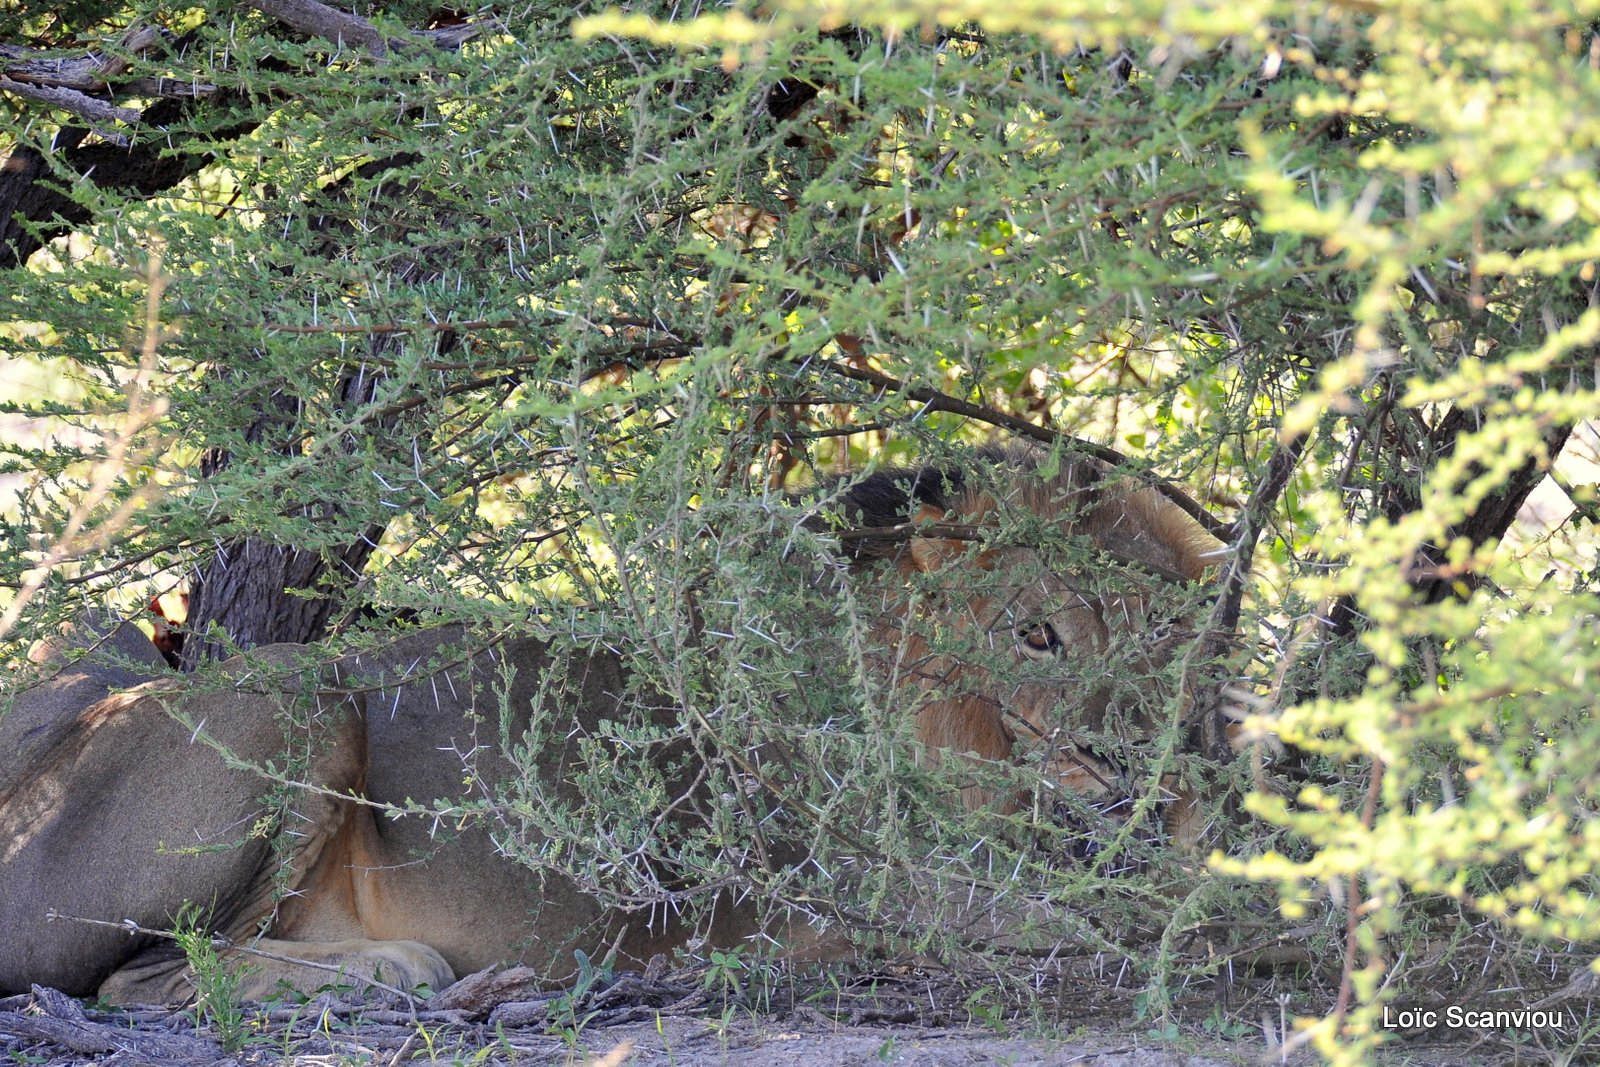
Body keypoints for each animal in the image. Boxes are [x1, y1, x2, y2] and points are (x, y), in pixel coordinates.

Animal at [0, 447, 1216, 1004]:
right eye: (1037, 633)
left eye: (1164, 637)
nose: (1129, 760)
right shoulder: (896, 891)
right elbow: (1149, 920)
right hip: (293, 700)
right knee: (145, 979)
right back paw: (396, 965)